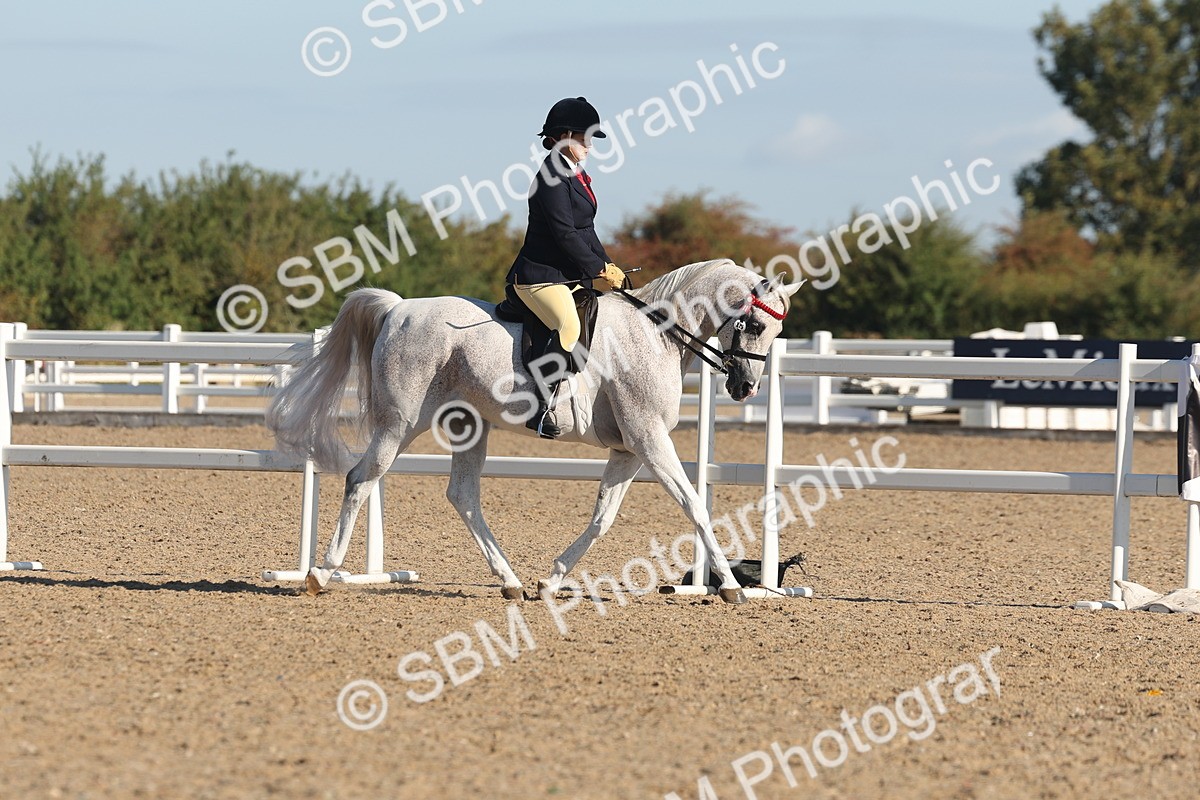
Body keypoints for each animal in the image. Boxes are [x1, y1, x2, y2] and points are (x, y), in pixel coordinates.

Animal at [265, 258, 802, 604]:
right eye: (755, 325)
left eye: (777, 332)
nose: (745, 386)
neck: (657, 334)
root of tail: (399, 309)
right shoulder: (649, 438)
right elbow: (694, 504)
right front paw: (730, 587)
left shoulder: (630, 449)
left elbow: (603, 518)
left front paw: (552, 581)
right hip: (400, 423)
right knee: (362, 478)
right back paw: (320, 574)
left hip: (468, 424)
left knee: (462, 495)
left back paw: (511, 582)